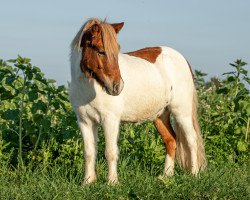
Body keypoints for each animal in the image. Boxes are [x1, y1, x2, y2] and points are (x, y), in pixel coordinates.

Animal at [69, 18, 206, 184]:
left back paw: (194, 174)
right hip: (160, 116)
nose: (118, 87)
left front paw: (112, 182)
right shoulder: (85, 121)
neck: (89, 88)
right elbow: (89, 152)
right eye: (101, 51)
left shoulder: (110, 120)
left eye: (116, 51)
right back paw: (166, 175)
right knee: (171, 140)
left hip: (182, 113)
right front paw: (87, 182)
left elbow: (110, 152)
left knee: (192, 140)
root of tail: (182, 59)